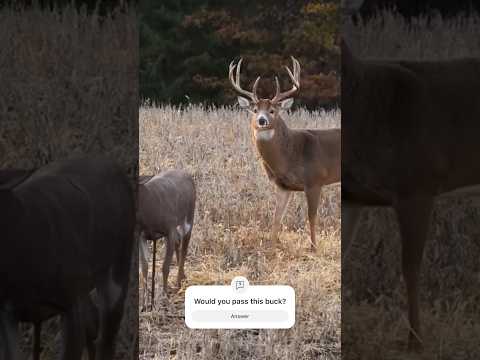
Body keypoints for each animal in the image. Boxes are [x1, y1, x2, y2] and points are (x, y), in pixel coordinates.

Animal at [137, 169, 195, 310]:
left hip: (189, 218)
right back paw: (183, 278)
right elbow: (144, 267)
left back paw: (179, 283)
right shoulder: (141, 235)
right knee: (179, 243)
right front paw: (144, 304)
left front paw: (165, 298)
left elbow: (165, 266)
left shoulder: (170, 229)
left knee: (184, 246)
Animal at [229, 57, 342, 252]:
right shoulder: (283, 186)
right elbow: (276, 218)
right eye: (255, 110)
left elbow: (311, 216)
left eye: (272, 110)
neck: (290, 157)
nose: (262, 120)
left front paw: (313, 248)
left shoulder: (315, 180)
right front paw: (271, 248)